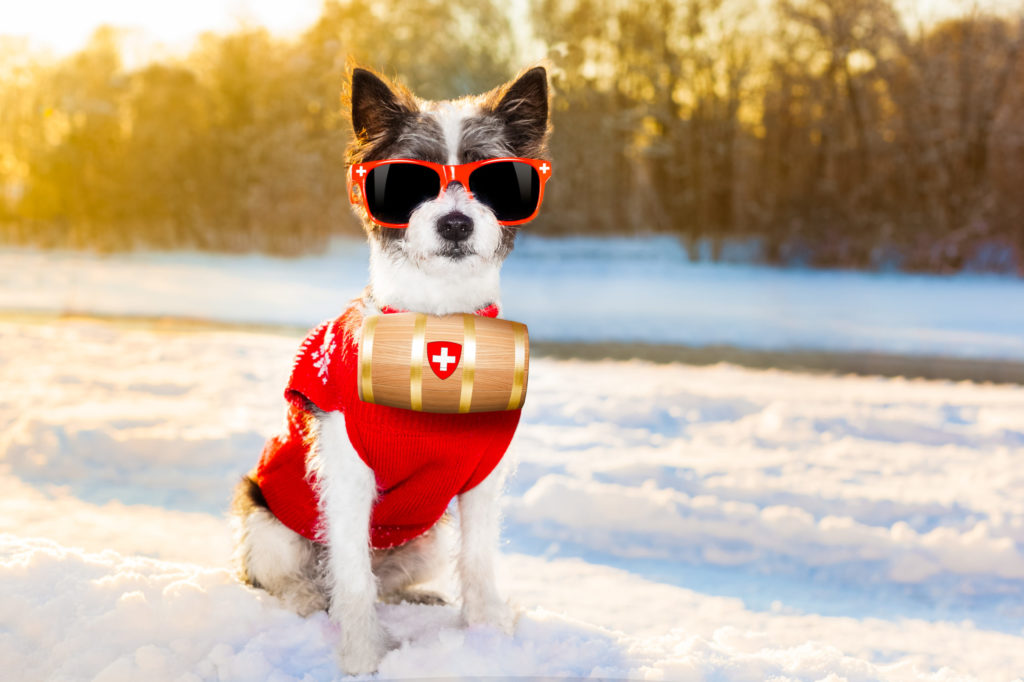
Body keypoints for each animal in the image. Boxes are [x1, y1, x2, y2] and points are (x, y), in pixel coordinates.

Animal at [232, 66, 552, 671]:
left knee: (387, 583)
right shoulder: (349, 477)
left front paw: (488, 638)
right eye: (410, 179)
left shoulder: (482, 479)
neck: (439, 320)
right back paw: (308, 598)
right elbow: (353, 580)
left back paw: (418, 597)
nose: (455, 223)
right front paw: (362, 659)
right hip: (269, 520)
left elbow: (479, 561)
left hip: (425, 541)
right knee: (291, 580)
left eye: (491, 176)